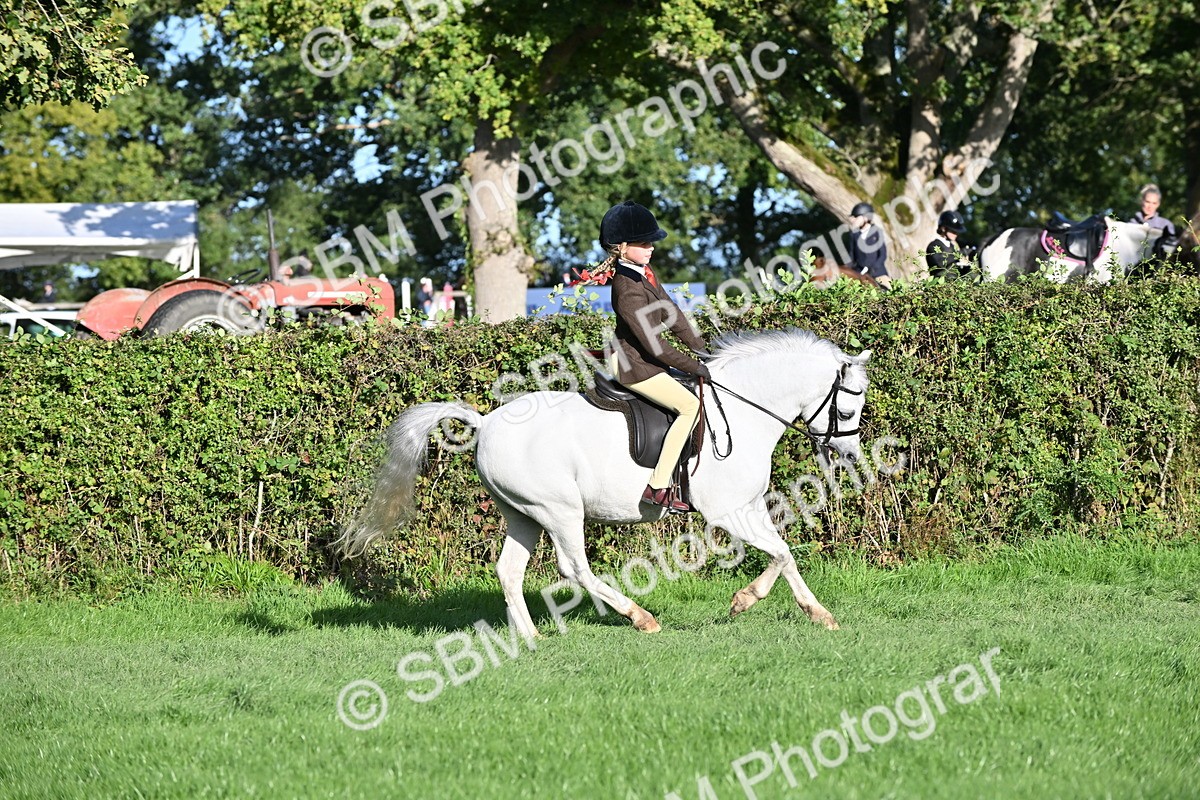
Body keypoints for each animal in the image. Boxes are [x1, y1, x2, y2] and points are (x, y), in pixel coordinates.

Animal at [339, 329, 872, 640]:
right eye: (848, 410)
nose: (850, 456)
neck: (743, 408)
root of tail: (485, 423)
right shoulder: (728, 511)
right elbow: (780, 553)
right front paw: (746, 601)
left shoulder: (750, 506)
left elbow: (785, 555)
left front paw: (816, 614)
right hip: (558, 511)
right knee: (574, 568)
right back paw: (639, 618)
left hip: (522, 515)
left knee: (509, 571)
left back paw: (531, 639)